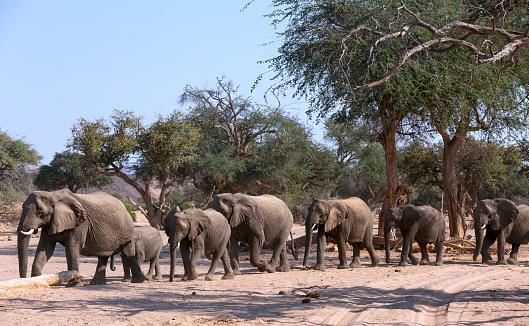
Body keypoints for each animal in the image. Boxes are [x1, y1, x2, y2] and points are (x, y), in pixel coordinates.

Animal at [16, 188, 144, 286]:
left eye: (40, 213)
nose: (24, 279)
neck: (53, 194)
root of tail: (125, 208)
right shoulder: (50, 223)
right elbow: (45, 248)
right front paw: (37, 281)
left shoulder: (81, 223)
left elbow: (72, 248)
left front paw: (73, 285)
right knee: (103, 256)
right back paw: (97, 283)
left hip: (126, 230)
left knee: (127, 253)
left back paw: (138, 281)